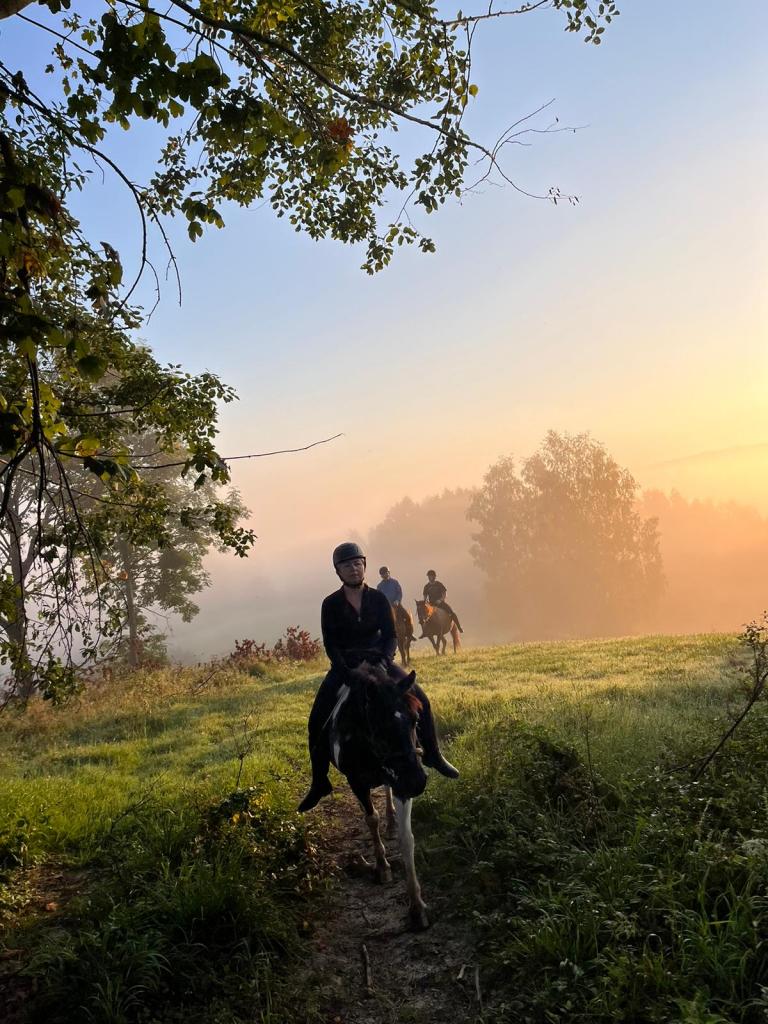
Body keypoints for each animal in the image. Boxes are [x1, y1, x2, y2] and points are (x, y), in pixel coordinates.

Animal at [325, 659, 430, 933]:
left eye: (416, 719)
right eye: (379, 725)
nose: (417, 781)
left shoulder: (401, 781)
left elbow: (407, 838)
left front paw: (417, 906)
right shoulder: (356, 782)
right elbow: (371, 819)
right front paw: (382, 866)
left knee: (387, 789)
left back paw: (391, 821)